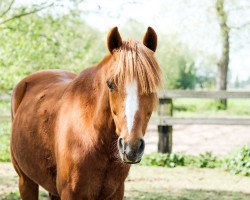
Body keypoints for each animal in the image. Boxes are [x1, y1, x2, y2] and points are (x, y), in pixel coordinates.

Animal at [10, 27, 161, 200]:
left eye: (151, 87)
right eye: (110, 84)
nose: (131, 147)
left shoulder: (116, 193)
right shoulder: (70, 193)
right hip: (25, 181)